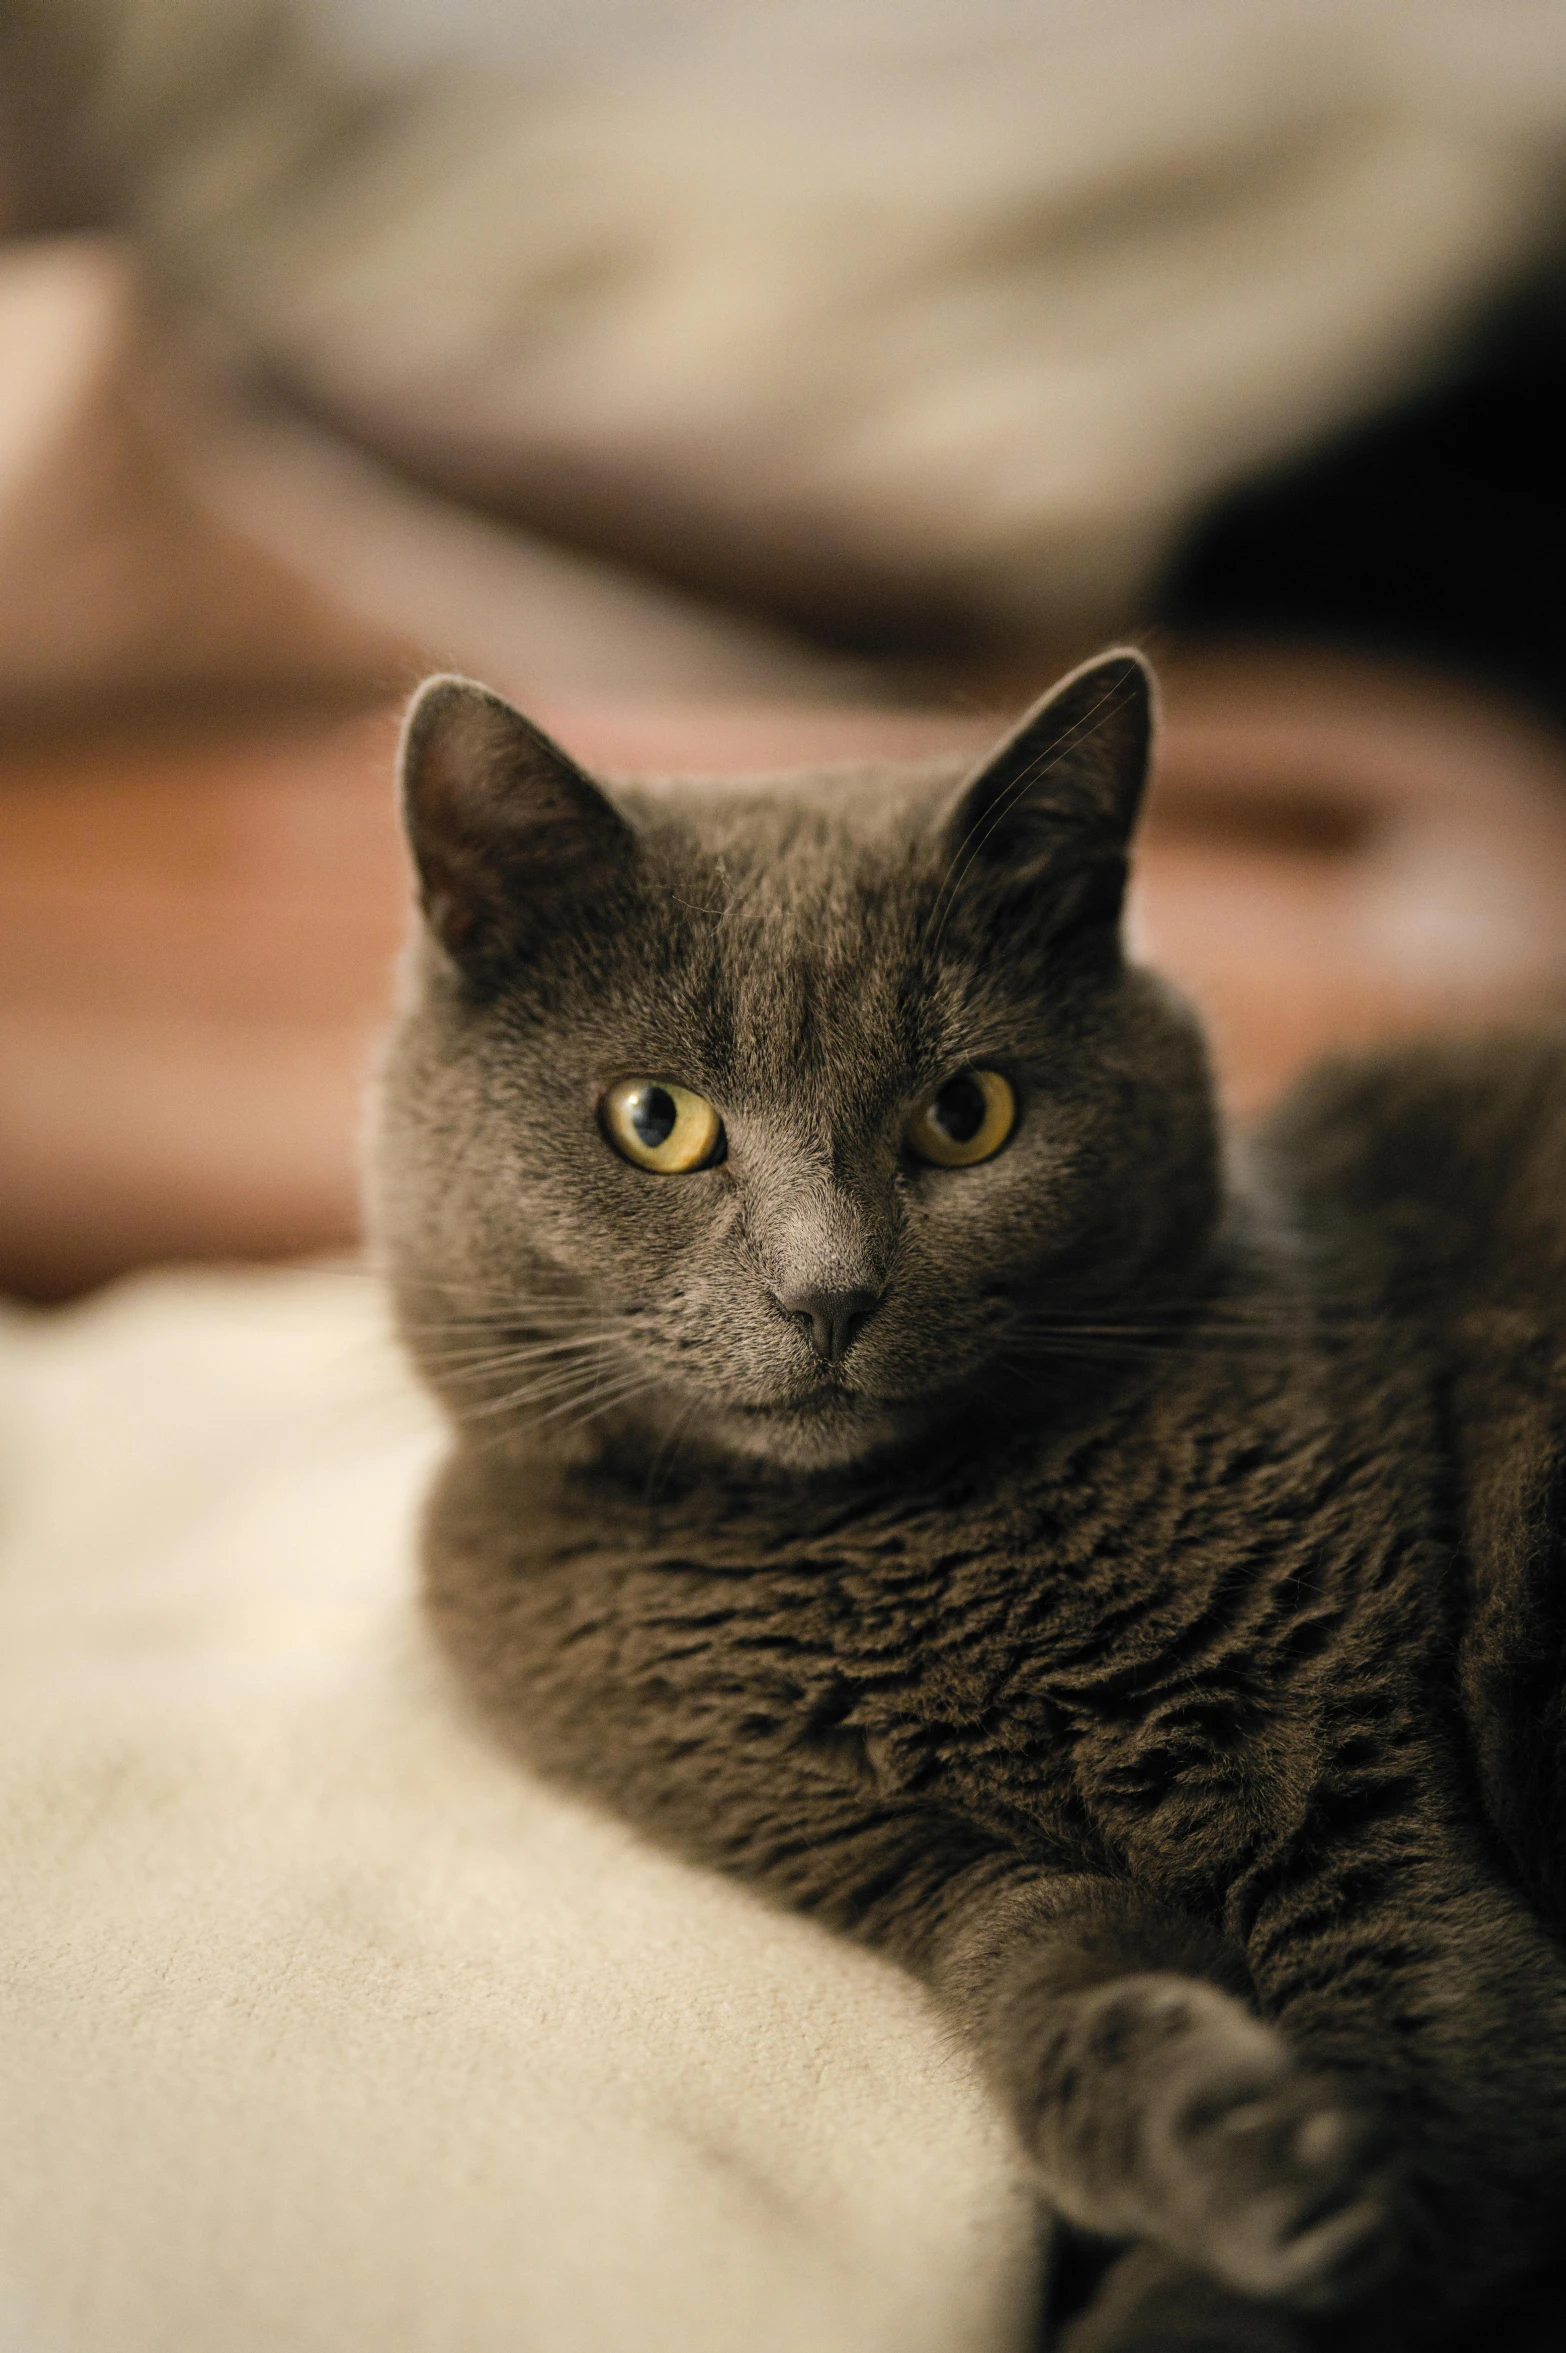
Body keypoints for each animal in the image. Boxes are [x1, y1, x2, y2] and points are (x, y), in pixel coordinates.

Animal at [371, 649, 1561, 2353]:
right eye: (655, 1120)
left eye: (968, 1113)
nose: (828, 1292)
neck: (895, 1554)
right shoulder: (874, 1852)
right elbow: (1044, 1957)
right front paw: (1229, 2139)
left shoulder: (1367, 1780)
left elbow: (1431, 2077)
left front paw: (1263, 2235)